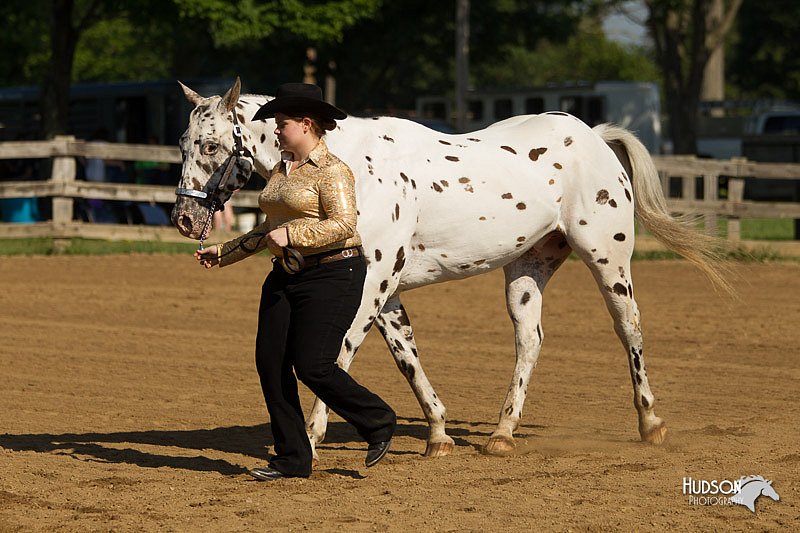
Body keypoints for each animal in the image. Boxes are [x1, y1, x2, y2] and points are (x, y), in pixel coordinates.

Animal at [172, 78, 728, 462]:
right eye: (182, 142)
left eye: (210, 145)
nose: (184, 219)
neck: (349, 165)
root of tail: (592, 135)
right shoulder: (386, 289)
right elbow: (406, 356)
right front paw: (438, 435)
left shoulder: (373, 282)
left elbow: (340, 351)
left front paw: (311, 436)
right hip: (527, 269)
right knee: (530, 340)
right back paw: (502, 435)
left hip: (607, 258)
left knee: (628, 327)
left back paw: (650, 422)